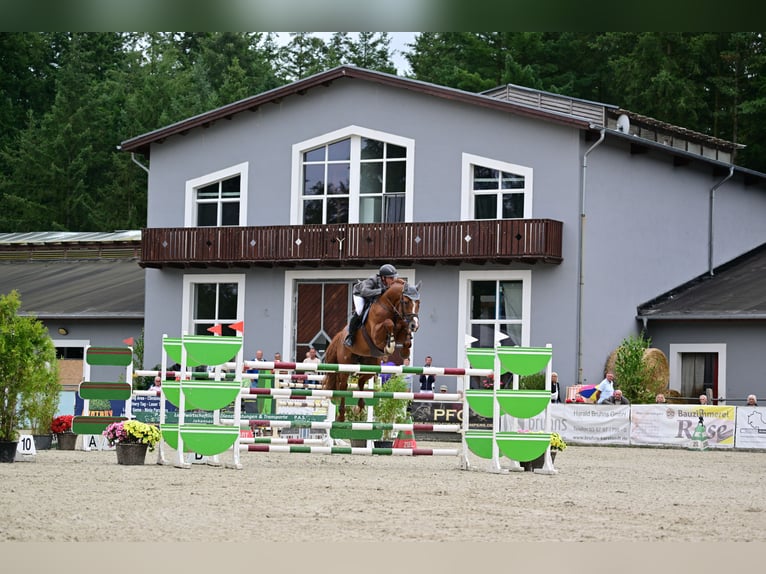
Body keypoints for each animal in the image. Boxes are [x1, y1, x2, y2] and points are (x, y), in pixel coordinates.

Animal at [322, 280, 424, 424]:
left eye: (418, 302)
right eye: (405, 302)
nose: (415, 325)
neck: (390, 308)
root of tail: (340, 336)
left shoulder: (401, 327)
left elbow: (404, 332)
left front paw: (405, 351)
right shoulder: (376, 334)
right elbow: (388, 324)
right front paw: (390, 345)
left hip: (371, 365)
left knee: (360, 381)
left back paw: (359, 408)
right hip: (345, 365)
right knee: (343, 386)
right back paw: (341, 416)